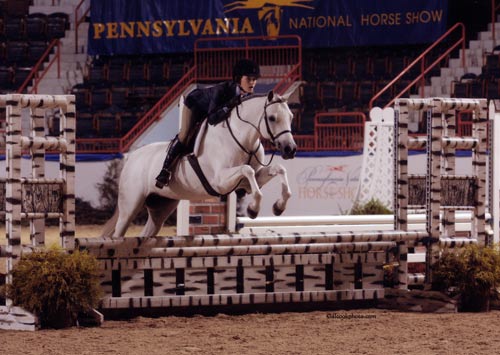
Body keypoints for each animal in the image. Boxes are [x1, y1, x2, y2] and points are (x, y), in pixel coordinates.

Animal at [103, 90, 294, 241]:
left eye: (291, 117)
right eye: (272, 118)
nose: (290, 149)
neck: (242, 138)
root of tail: (131, 157)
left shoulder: (249, 181)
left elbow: (278, 169)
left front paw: (279, 207)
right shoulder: (220, 181)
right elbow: (247, 170)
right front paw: (253, 209)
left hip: (161, 206)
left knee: (146, 233)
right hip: (130, 205)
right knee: (118, 233)